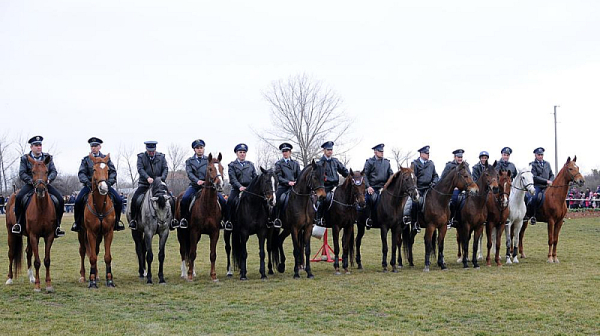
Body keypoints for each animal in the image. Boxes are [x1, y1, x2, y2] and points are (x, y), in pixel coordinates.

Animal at [4, 156, 57, 292]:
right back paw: (10, 279)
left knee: (28, 253)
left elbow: (47, 260)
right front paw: (38, 286)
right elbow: (37, 261)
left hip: (28, 236)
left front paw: (48, 284)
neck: (42, 208)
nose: (40, 190)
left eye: (46, 171)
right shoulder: (34, 235)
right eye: (32, 172)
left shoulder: (49, 236)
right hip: (11, 233)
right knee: (11, 253)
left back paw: (31, 277)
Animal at [78, 154, 118, 288]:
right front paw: (92, 282)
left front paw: (109, 280)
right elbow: (92, 257)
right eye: (94, 169)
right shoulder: (90, 233)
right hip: (82, 233)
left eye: (108, 170)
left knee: (95, 251)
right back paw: (83, 276)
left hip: (99, 236)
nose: (104, 188)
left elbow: (107, 257)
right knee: (83, 251)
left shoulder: (108, 233)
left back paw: (96, 274)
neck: (100, 206)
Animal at [178, 152, 225, 280]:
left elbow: (212, 254)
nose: (220, 185)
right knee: (183, 251)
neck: (207, 205)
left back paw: (193, 271)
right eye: (210, 169)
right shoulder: (194, 231)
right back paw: (184, 273)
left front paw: (213, 276)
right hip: (182, 232)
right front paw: (189, 275)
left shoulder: (215, 232)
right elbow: (192, 253)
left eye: (222, 168)